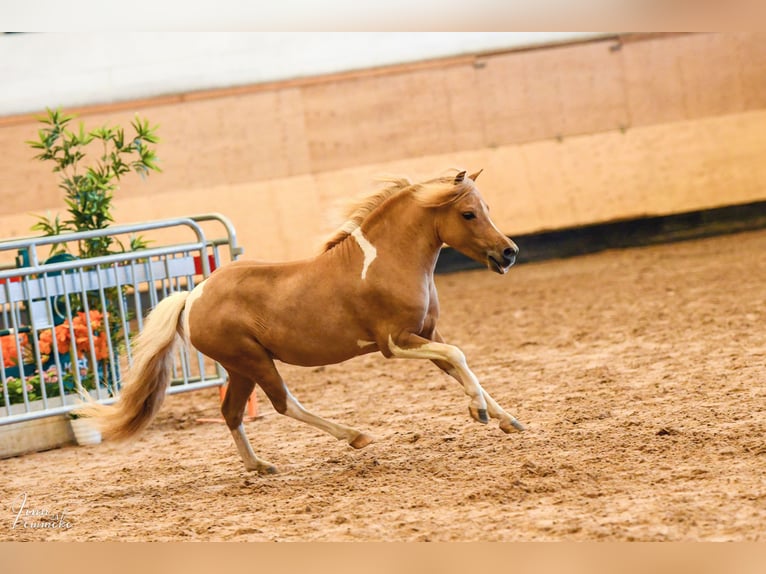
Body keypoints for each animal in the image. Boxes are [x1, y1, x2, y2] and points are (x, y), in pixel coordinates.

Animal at [84, 169, 528, 474]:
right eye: (468, 214)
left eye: (486, 210)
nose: (509, 253)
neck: (387, 261)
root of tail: (192, 296)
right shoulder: (395, 342)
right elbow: (459, 355)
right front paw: (479, 412)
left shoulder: (426, 334)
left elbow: (459, 363)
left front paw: (508, 420)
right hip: (253, 361)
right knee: (284, 404)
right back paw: (356, 436)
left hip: (240, 368)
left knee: (232, 412)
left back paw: (259, 466)